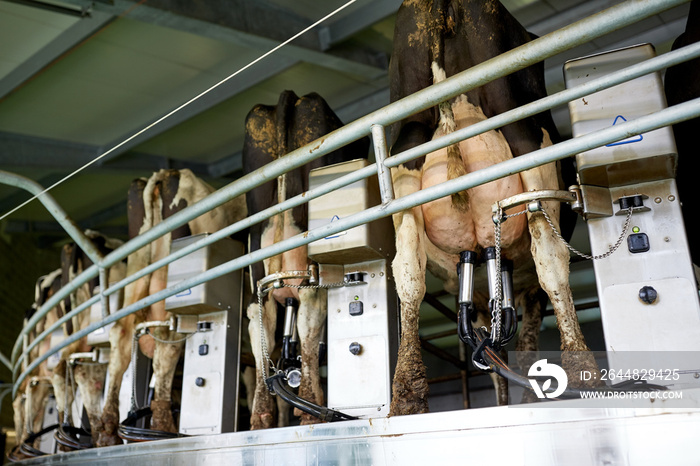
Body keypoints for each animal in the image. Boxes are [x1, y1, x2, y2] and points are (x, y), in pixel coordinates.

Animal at [94, 169, 245, 446]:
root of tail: (168, 172)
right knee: (166, 338)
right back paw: (163, 425)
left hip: (137, 275)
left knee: (122, 334)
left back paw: (108, 428)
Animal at [242, 89, 370, 428]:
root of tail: (296, 95)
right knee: (310, 315)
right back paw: (312, 407)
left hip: (258, 260)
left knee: (260, 321)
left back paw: (261, 414)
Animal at [386, 0, 592, 416]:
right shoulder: (527, 292)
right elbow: (525, 342)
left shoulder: (483, 294)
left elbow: (493, 356)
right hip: (527, 140)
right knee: (549, 255)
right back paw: (583, 375)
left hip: (405, 160)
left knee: (409, 272)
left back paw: (406, 397)